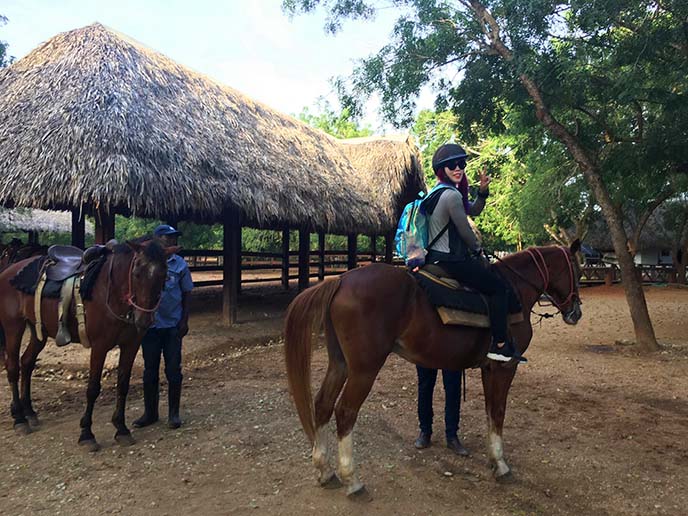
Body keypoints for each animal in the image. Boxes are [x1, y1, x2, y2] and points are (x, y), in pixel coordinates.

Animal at [0, 240, 177, 450]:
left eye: (164, 275)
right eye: (136, 273)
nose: (144, 320)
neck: (111, 291)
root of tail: (8, 272)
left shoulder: (131, 345)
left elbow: (123, 385)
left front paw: (121, 428)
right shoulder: (100, 346)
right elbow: (93, 388)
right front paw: (87, 434)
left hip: (38, 332)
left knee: (27, 363)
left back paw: (29, 412)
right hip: (13, 328)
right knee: (13, 368)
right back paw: (19, 418)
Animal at [284, 243, 580, 500]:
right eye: (576, 270)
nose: (576, 313)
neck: (514, 291)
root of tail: (342, 280)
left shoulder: (488, 369)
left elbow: (489, 412)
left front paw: (493, 459)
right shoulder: (504, 367)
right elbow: (497, 413)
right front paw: (501, 465)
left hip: (340, 364)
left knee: (322, 404)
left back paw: (325, 472)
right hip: (364, 369)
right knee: (345, 412)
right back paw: (352, 481)